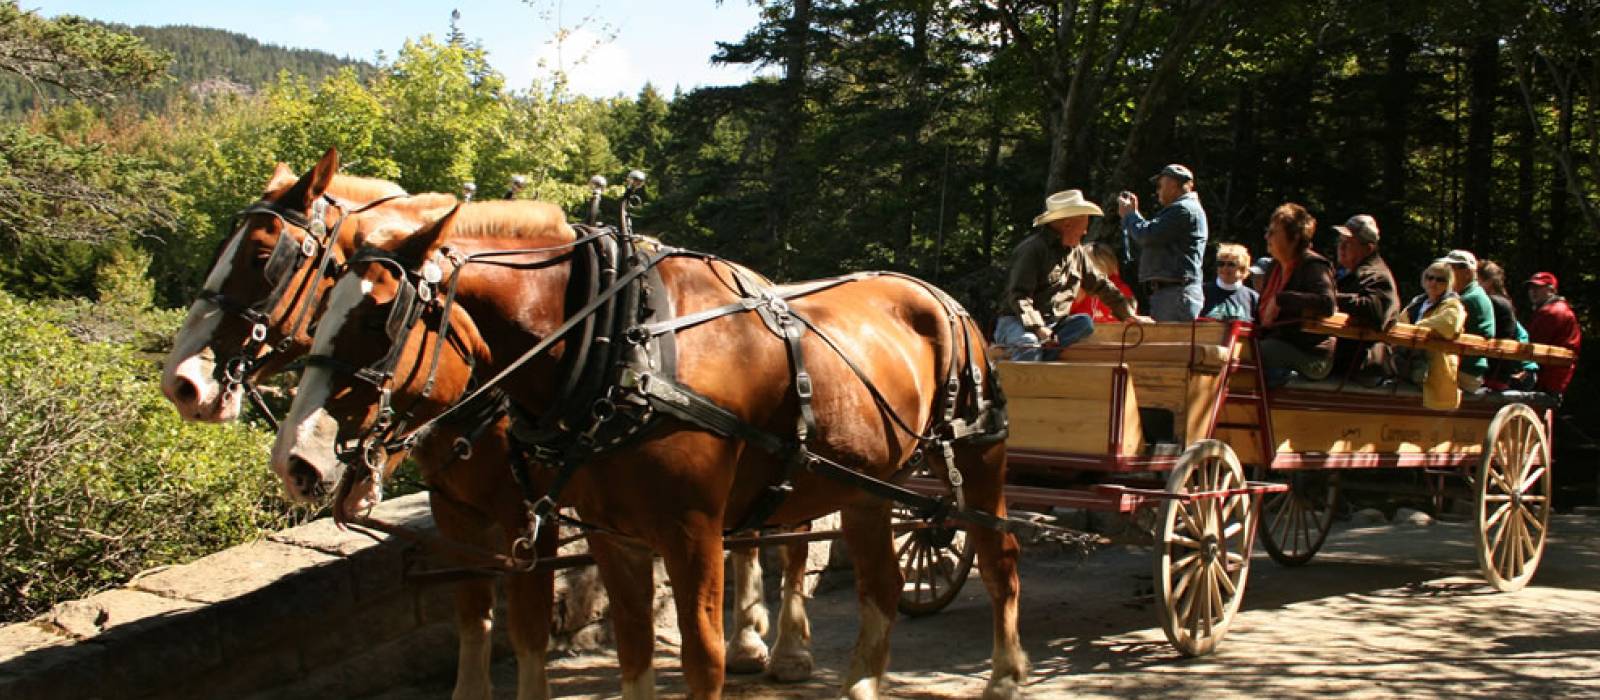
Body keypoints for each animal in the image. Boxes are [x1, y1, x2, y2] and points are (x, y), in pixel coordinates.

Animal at [159, 150, 812, 696]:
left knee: (793, 539)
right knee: (750, 536)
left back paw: (783, 648)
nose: (182, 384)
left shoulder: (529, 515)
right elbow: (473, 615)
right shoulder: (456, 508)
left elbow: (527, 626)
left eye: (262, 260)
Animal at [273, 196, 1024, 693]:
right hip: (866, 487)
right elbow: (633, 649)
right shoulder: (611, 531)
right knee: (882, 586)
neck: (620, 343)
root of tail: (940, 297)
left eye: (380, 318)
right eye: (320, 306)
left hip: (980, 452)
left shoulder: (690, 532)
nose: (296, 459)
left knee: (999, 559)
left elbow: (702, 656)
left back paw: (1006, 676)